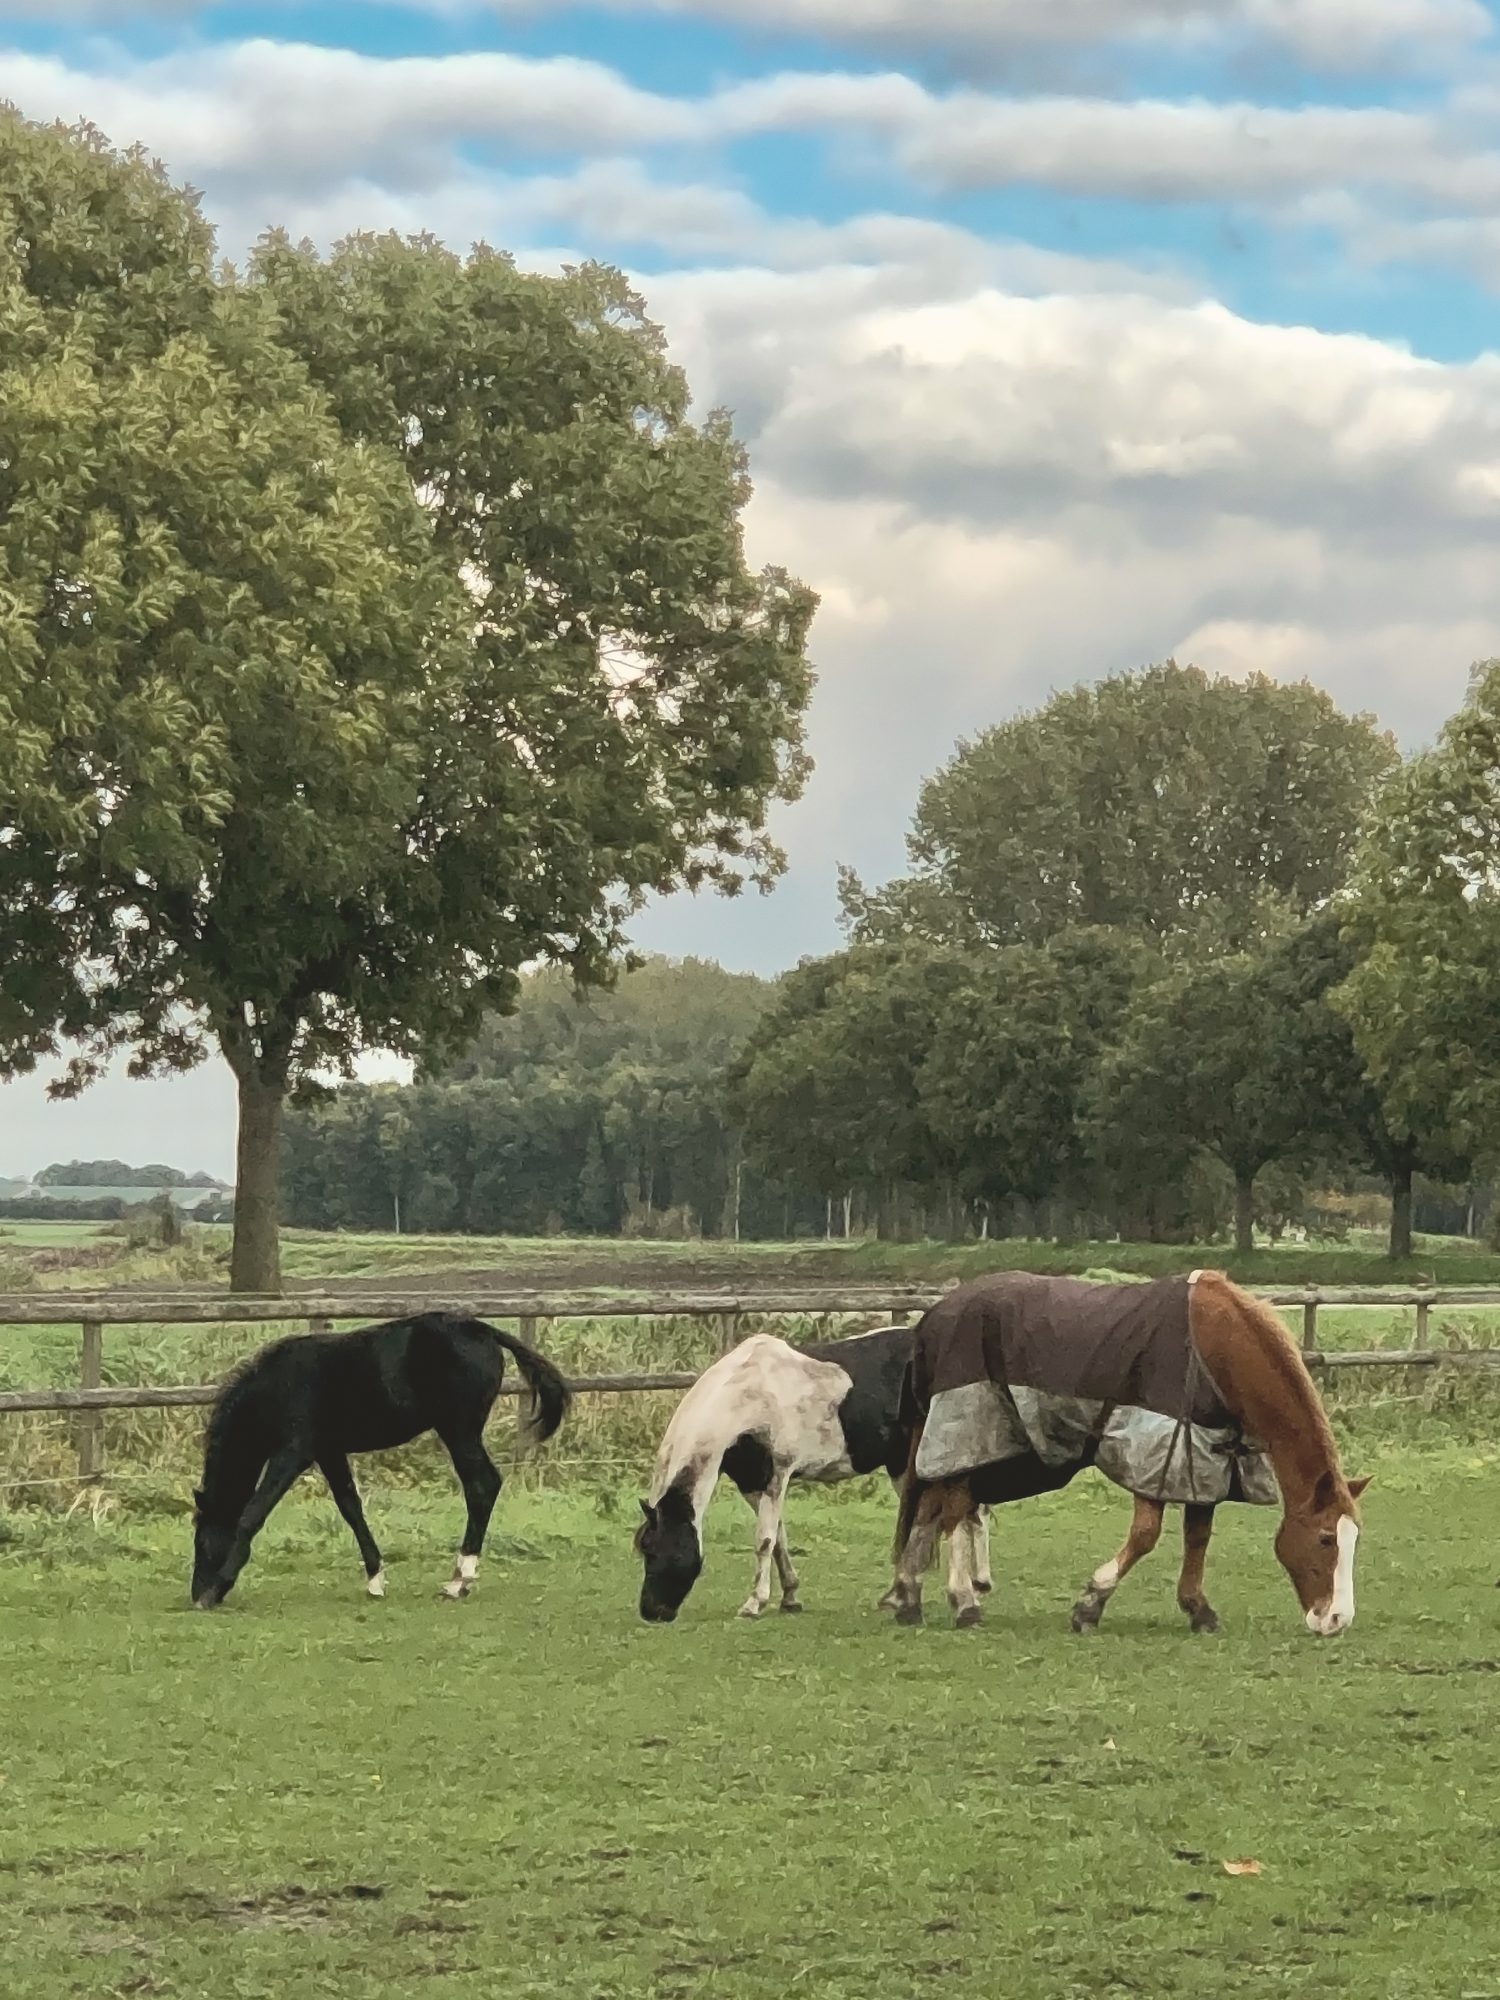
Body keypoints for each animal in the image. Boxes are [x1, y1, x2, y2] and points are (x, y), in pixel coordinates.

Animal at [190, 1312, 571, 1609]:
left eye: (202, 1542)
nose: (197, 1596)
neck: (277, 1387)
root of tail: (482, 1330)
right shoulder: (329, 1451)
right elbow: (351, 1508)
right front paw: (375, 1580)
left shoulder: (292, 1453)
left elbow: (253, 1514)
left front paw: (219, 1584)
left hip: (459, 1431)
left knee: (482, 1486)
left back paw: (458, 1582)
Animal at [635, 1325, 990, 1623]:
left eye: (654, 1550)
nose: (651, 1612)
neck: (748, 1397)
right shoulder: (752, 1482)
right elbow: (778, 1539)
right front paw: (789, 1597)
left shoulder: (776, 1475)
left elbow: (764, 1540)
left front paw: (754, 1603)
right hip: (903, 1467)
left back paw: (969, 1593)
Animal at [888, 1269, 1368, 1636]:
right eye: (1325, 1538)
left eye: (1353, 1539)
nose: (1337, 1619)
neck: (1214, 1347)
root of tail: (932, 1320)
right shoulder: (1154, 1452)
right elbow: (1145, 1535)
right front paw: (1090, 1604)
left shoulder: (1204, 1456)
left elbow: (1198, 1535)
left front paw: (1198, 1608)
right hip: (965, 1438)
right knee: (954, 1510)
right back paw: (964, 1602)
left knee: (930, 1508)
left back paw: (908, 1596)